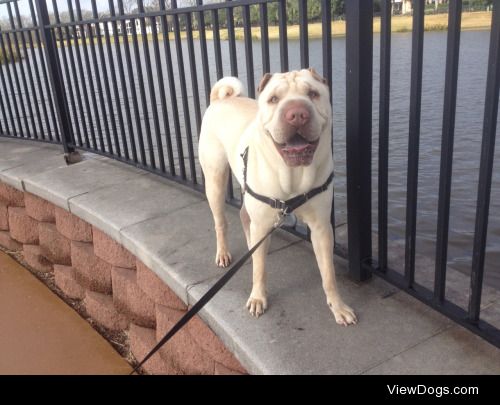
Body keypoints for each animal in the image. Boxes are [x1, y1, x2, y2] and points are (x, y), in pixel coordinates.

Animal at [197, 67, 358, 326]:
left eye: (313, 94)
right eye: (273, 99)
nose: (297, 114)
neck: (293, 174)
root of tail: (221, 99)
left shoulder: (321, 227)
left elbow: (328, 273)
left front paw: (338, 306)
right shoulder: (263, 220)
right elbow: (260, 270)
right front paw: (258, 298)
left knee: (244, 216)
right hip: (215, 180)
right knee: (221, 222)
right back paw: (223, 253)